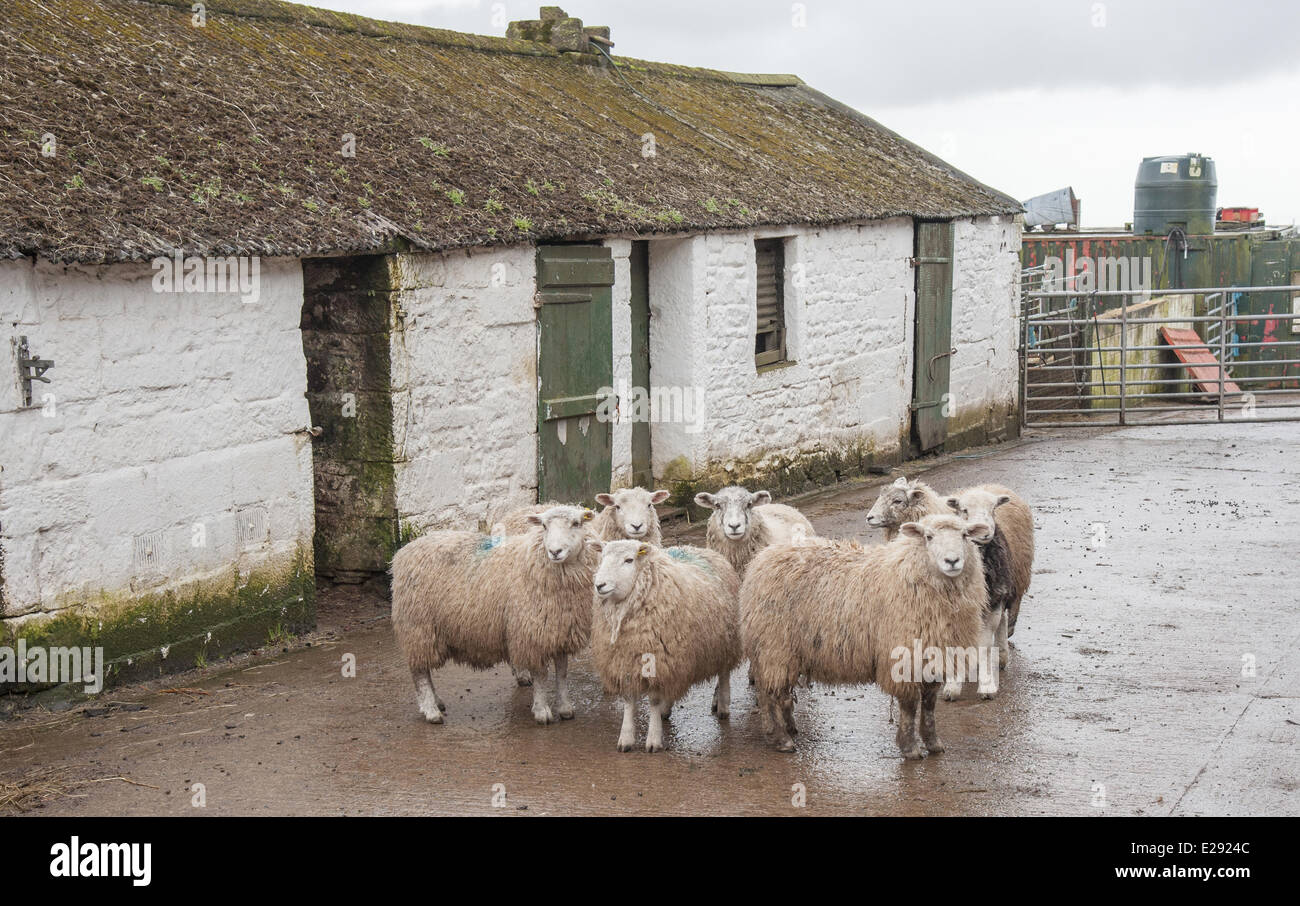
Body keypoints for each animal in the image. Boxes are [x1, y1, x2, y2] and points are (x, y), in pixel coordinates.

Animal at [390, 504, 598, 722]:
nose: (555, 551)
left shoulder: (561, 632)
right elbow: (541, 675)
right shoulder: (531, 635)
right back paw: (431, 710)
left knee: (424, 671)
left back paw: (437, 702)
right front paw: (542, 711)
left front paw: (565, 708)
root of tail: (403, 552)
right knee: (420, 672)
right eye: (543, 526)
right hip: (418, 626)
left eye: (576, 523)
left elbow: (562, 673)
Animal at [592, 540, 743, 753]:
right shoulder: (627, 661)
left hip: (724, 644)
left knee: (724, 674)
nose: (599, 585)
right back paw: (667, 708)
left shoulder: (658, 659)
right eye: (602, 557)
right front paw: (626, 738)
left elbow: (654, 700)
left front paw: (653, 740)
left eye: (629, 560)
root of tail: (696, 547)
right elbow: (629, 700)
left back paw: (723, 705)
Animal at [738, 514, 987, 753]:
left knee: (778, 693)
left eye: (965, 535)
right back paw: (781, 739)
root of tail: (760, 560)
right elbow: (909, 705)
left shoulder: (935, 656)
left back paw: (788, 728)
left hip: (784, 652)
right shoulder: (903, 655)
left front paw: (933, 743)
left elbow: (929, 704)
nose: (952, 561)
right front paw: (910, 747)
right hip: (774, 647)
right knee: (769, 694)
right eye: (929, 537)